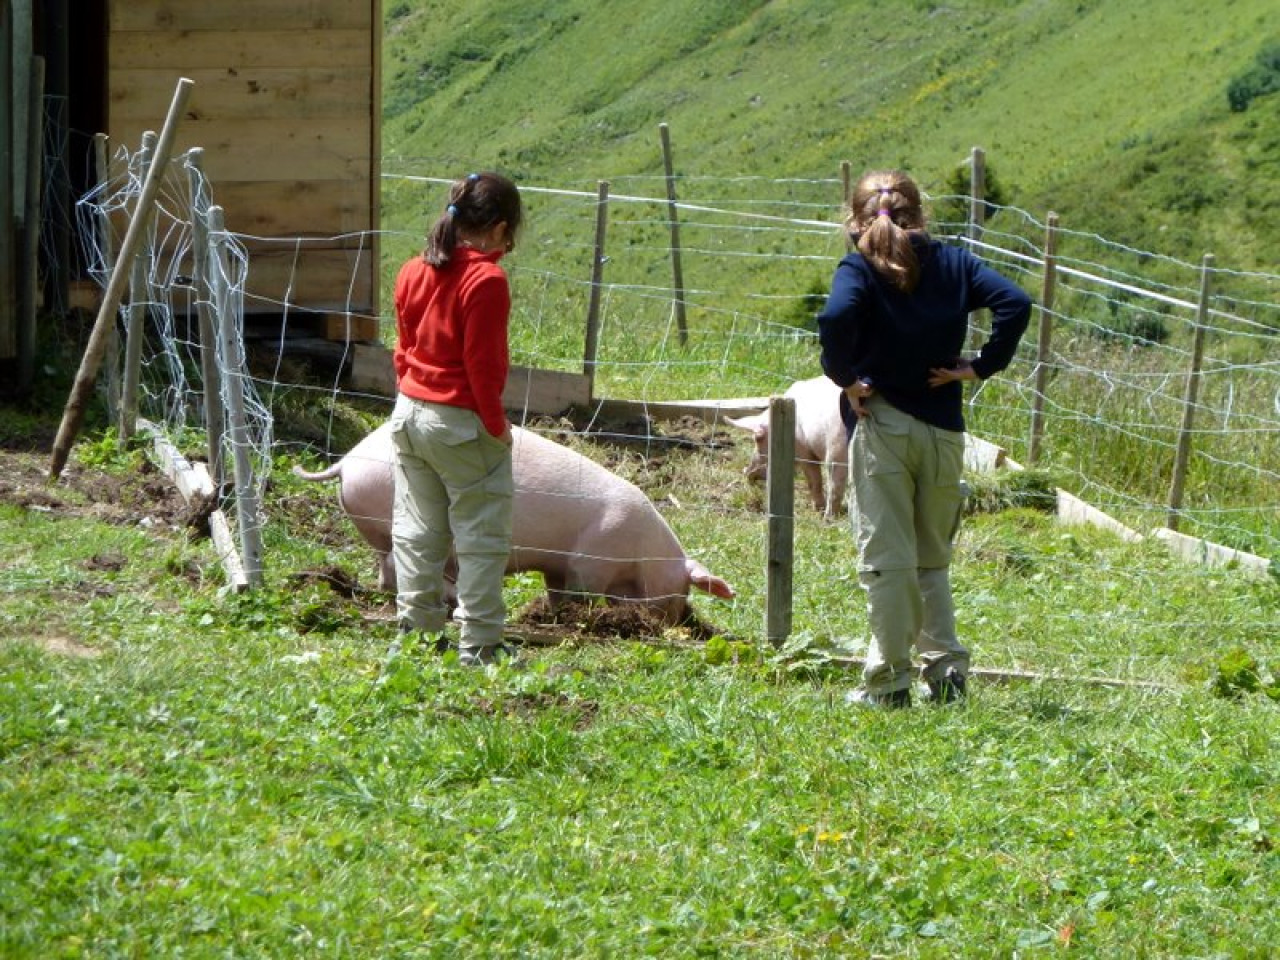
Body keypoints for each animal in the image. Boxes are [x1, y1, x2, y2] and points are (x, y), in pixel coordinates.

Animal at [732, 378, 849, 522]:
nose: (746, 472)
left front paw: (818, 510)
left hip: (836, 446)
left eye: (757, 439)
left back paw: (827, 519)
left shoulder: (804, 451)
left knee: (835, 485)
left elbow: (814, 480)